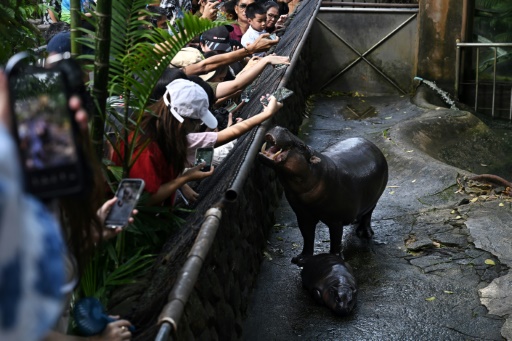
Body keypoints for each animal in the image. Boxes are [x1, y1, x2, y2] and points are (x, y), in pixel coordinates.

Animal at [260, 126, 388, 264]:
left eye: (302, 146)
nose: (280, 127)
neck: (315, 173)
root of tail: (373, 145)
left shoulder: (336, 220)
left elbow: (335, 240)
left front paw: (335, 258)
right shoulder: (303, 215)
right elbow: (307, 236)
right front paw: (300, 259)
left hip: (374, 199)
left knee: (368, 214)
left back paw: (364, 233)